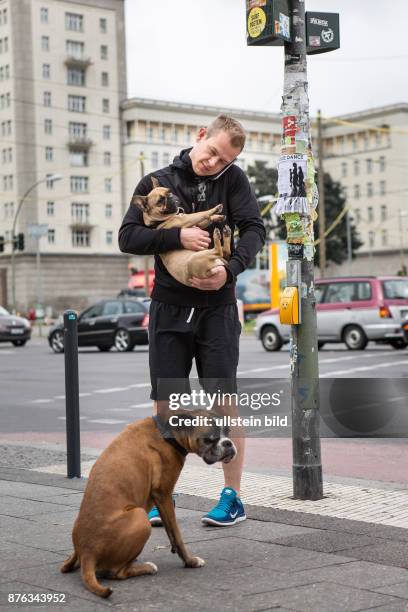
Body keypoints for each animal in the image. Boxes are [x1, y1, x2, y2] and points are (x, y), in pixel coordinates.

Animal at [59, 408, 234, 600]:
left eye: (228, 432)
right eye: (210, 438)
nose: (228, 443)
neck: (167, 432)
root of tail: (88, 554)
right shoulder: (164, 494)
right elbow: (176, 535)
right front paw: (190, 561)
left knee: (71, 563)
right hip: (139, 516)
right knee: (117, 572)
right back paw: (146, 567)